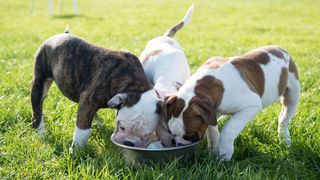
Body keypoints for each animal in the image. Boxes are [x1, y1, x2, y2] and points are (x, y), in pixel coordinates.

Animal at [159, 46, 302, 160]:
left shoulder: (251, 105)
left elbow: (229, 128)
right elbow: (212, 130)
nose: (178, 143)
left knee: (284, 118)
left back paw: (285, 140)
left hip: (293, 92)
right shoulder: (212, 113)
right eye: (172, 133)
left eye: (191, 137)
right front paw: (214, 150)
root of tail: (281, 49)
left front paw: (224, 153)